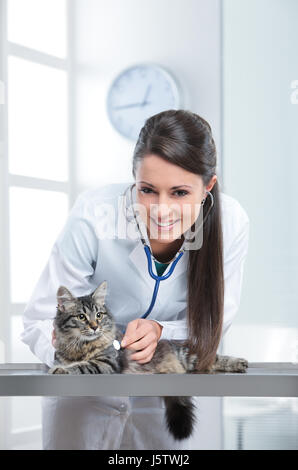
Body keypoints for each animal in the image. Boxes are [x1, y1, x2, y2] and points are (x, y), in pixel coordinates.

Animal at [49, 280, 249, 440]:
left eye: (99, 315)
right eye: (81, 317)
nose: (95, 327)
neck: (81, 346)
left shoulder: (107, 363)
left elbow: (81, 366)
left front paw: (62, 370)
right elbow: (70, 363)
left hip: (189, 355)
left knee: (212, 359)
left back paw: (239, 362)